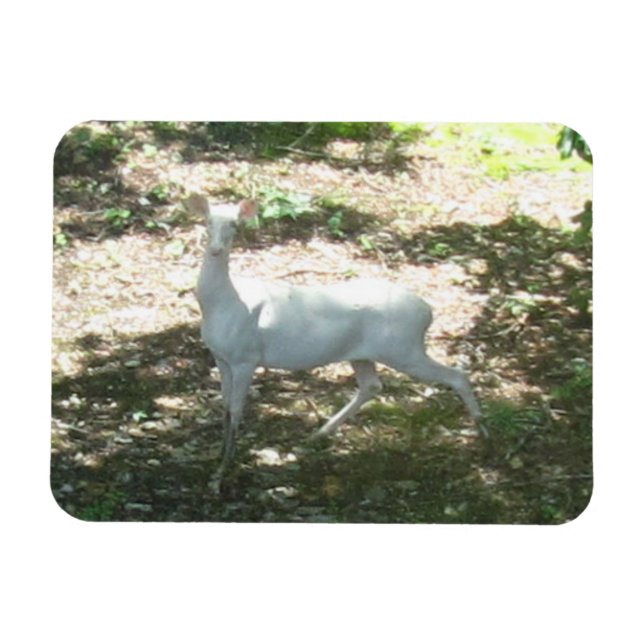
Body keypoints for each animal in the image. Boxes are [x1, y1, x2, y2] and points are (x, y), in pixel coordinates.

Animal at [186, 193, 487, 491]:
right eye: (208, 220)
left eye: (235, 224)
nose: (216, 249)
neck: (225, 304)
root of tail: (428, 312)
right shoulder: (221, 356)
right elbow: (225, 406)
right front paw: (216, 459)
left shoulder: (246, 357)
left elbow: (236, 410)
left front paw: (222, 475)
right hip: (366, 353)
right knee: (372, 385)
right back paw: (319, 433)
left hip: (404, 348)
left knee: (456, 375)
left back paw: (483, 433)